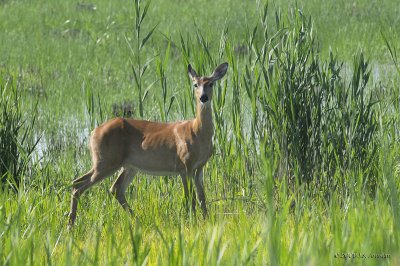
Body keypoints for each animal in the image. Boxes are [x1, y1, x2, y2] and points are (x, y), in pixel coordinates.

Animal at [69, 62, 228, 227]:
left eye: (211, 83)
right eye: (195, 84)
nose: (203, 97)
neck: (197, 132)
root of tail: (93, 132)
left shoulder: (199, 167)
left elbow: (202, 197)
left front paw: (206, 220)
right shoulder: (185, 166)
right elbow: (189, 198)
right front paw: (192, 222)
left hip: (128, 166)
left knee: (115, 189)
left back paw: (136, 220)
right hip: (105, 161)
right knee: (78, 184)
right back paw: (70, 224)